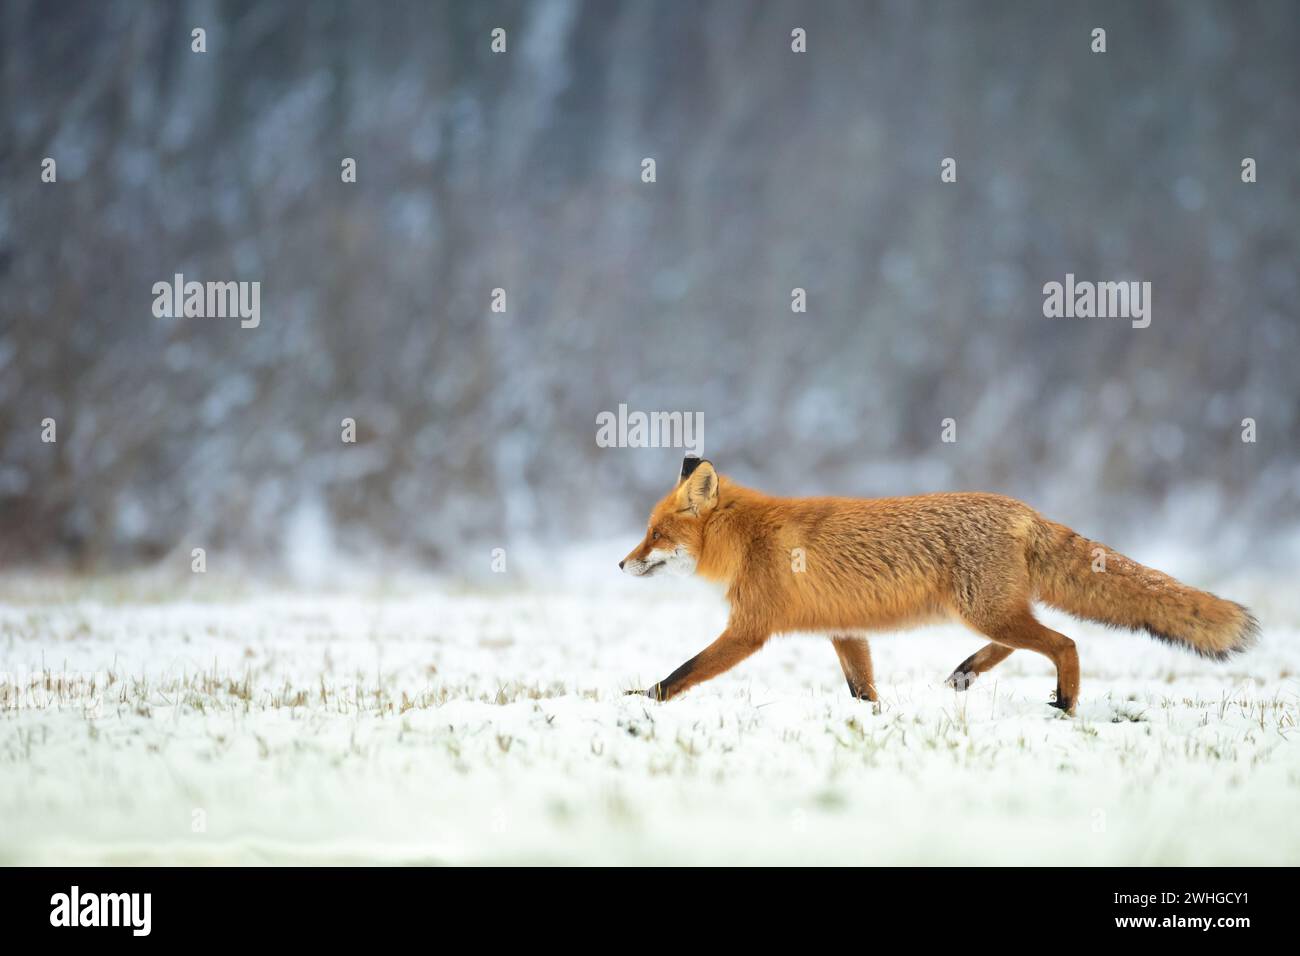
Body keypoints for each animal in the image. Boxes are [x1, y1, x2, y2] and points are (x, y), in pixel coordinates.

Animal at [621, 455, 1258, 712]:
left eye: (654, 534)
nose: (621, 566)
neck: (748, 537)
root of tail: (1023, 508)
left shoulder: (749, 631)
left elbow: (682, 672)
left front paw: (642, 702)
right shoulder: (844, 631)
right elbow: (863, 691)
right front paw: (872, 724)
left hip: (983, 610)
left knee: (1066, 644)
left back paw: (1066, 703)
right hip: (989, 611)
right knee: (1029, 641)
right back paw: (968, 672)